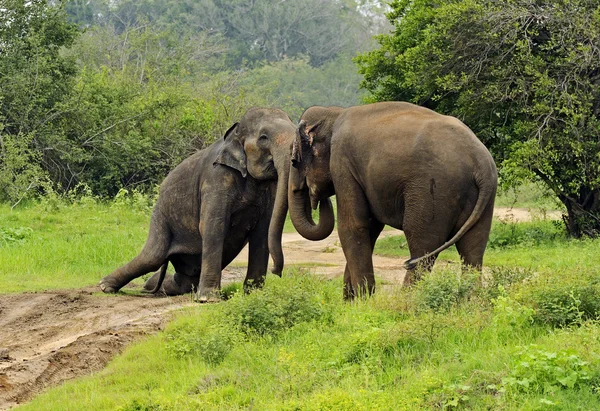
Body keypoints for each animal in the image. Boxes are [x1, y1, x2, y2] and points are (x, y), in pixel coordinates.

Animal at [100, 108, 336, 302]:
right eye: (263, 138)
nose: (276, 273)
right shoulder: (215, 178)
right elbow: (213, 226)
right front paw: (208, 299)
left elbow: (261, 232)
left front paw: (253, 295)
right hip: (161, 216)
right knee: (153, 256)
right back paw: (105, 286)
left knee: (181, 279)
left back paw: (151, 287)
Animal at [288, 100, 500, 300]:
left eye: (293, 162)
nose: (318, 198)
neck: (334, 113)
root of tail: (482, 163)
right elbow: (370, 227)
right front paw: (352, 302)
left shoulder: (342, 163)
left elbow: (353, 226)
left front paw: (364, 302)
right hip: (482, 199)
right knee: (473, 248)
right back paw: (471, 301)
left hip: (434, 191)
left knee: (422, 246)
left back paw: (405, 301)